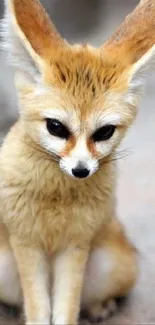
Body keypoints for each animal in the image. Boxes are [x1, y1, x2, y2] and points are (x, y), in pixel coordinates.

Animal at [0, 0, 154, 322]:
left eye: (105, 132)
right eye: (56, 127)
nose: (81, 170)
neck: (57, 197)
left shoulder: (75, 245)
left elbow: (67, 307)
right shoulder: (26, 243)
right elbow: (38, 308)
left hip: (114, 265)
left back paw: (100, 306)